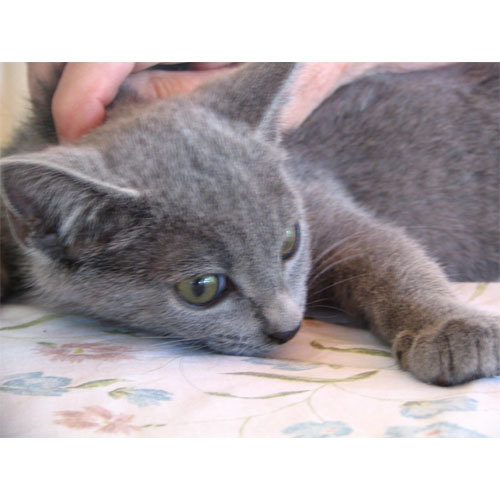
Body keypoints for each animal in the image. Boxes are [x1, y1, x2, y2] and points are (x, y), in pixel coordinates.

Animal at [0, 60, 500, 384]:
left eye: (289, 242)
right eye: (201, 288)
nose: (288, 327)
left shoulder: (327, 209)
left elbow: (393, 257)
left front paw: (451, 328)